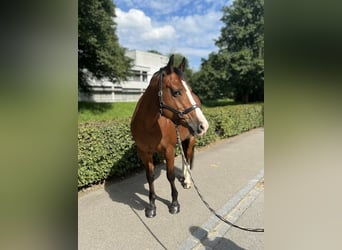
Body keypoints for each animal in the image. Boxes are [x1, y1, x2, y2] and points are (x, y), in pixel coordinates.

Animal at [130, 54, 208, 217]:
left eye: (189, 90)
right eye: (176, 92)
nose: (203, 125)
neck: (149, 124)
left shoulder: (169, 150)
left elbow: (170, 176)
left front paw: (174, 204)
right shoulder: (145, 153)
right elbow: (150, 177)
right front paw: (151, 206)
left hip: (190, 139)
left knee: (187, 158)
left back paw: (187, 181)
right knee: (184, 157)